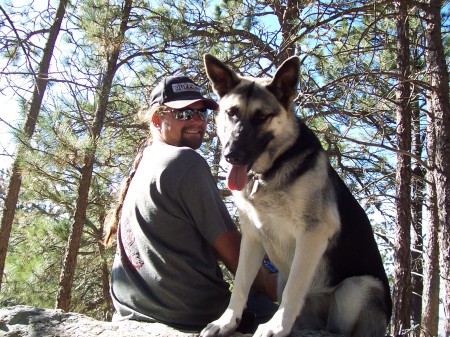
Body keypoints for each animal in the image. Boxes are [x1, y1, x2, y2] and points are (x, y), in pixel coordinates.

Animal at [202, 53, 392, 336]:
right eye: (232, 113)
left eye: (262, 117)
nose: (231, 155)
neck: (269, 172)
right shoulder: (251, 236)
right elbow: (241, 286)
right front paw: (227, 322)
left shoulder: (313, 233)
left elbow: (294, 289)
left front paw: (276, 327)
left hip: (356, 287)